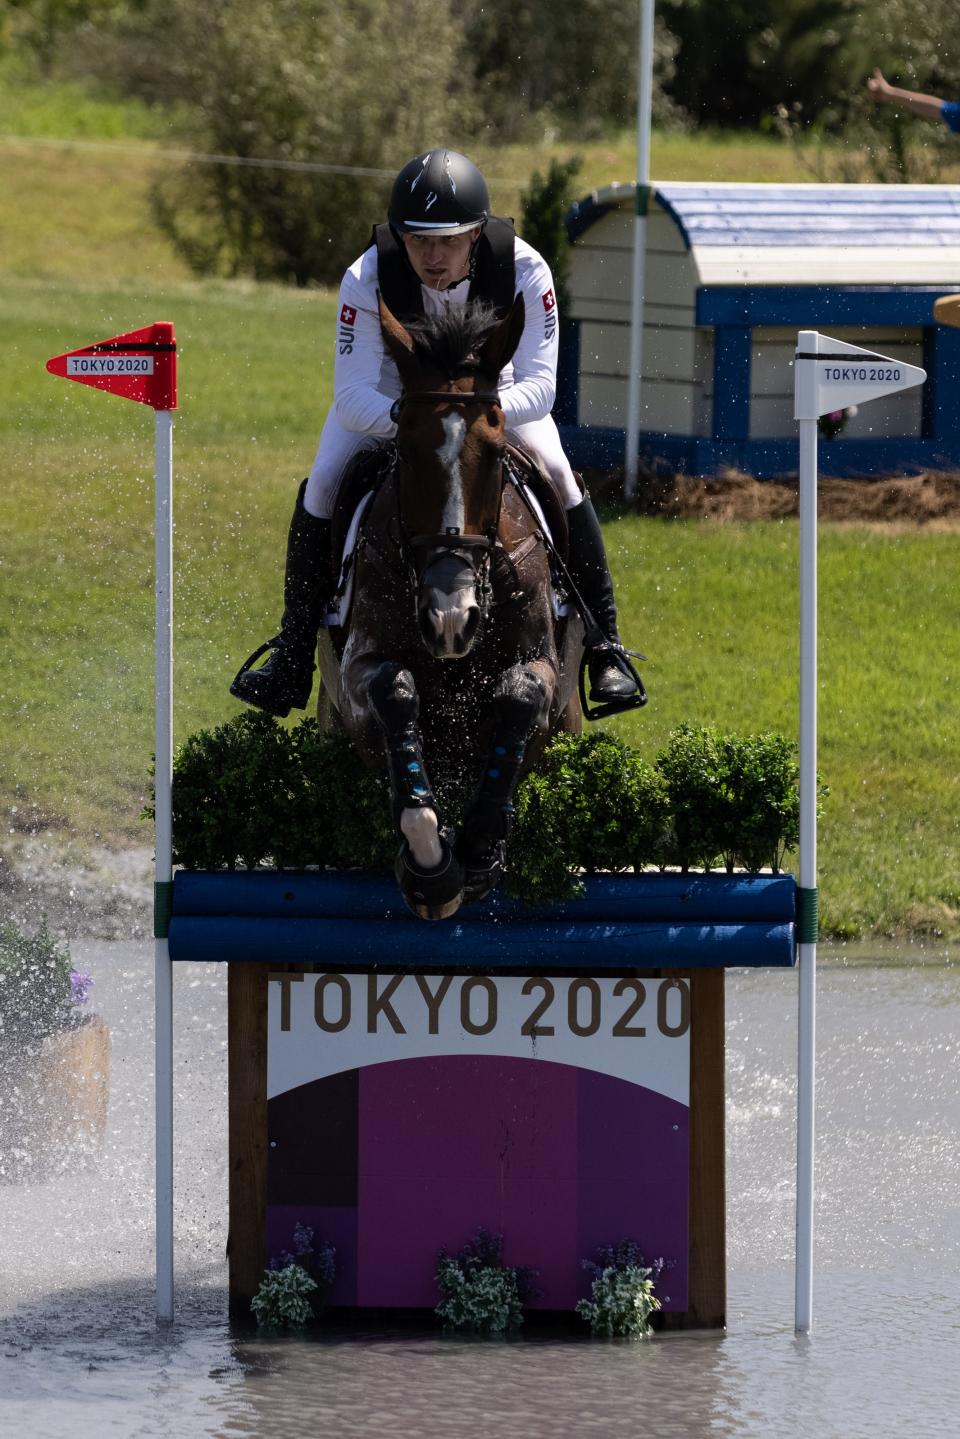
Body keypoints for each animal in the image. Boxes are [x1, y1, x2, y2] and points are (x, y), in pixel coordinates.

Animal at [319, 293, 581, 920]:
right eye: (406, 448)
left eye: (495, 452)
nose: (450, 620)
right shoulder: (359, 671)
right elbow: (395, 692)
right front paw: (431, 866)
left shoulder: (542, 665)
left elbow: (519, 695)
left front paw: (480, 848)